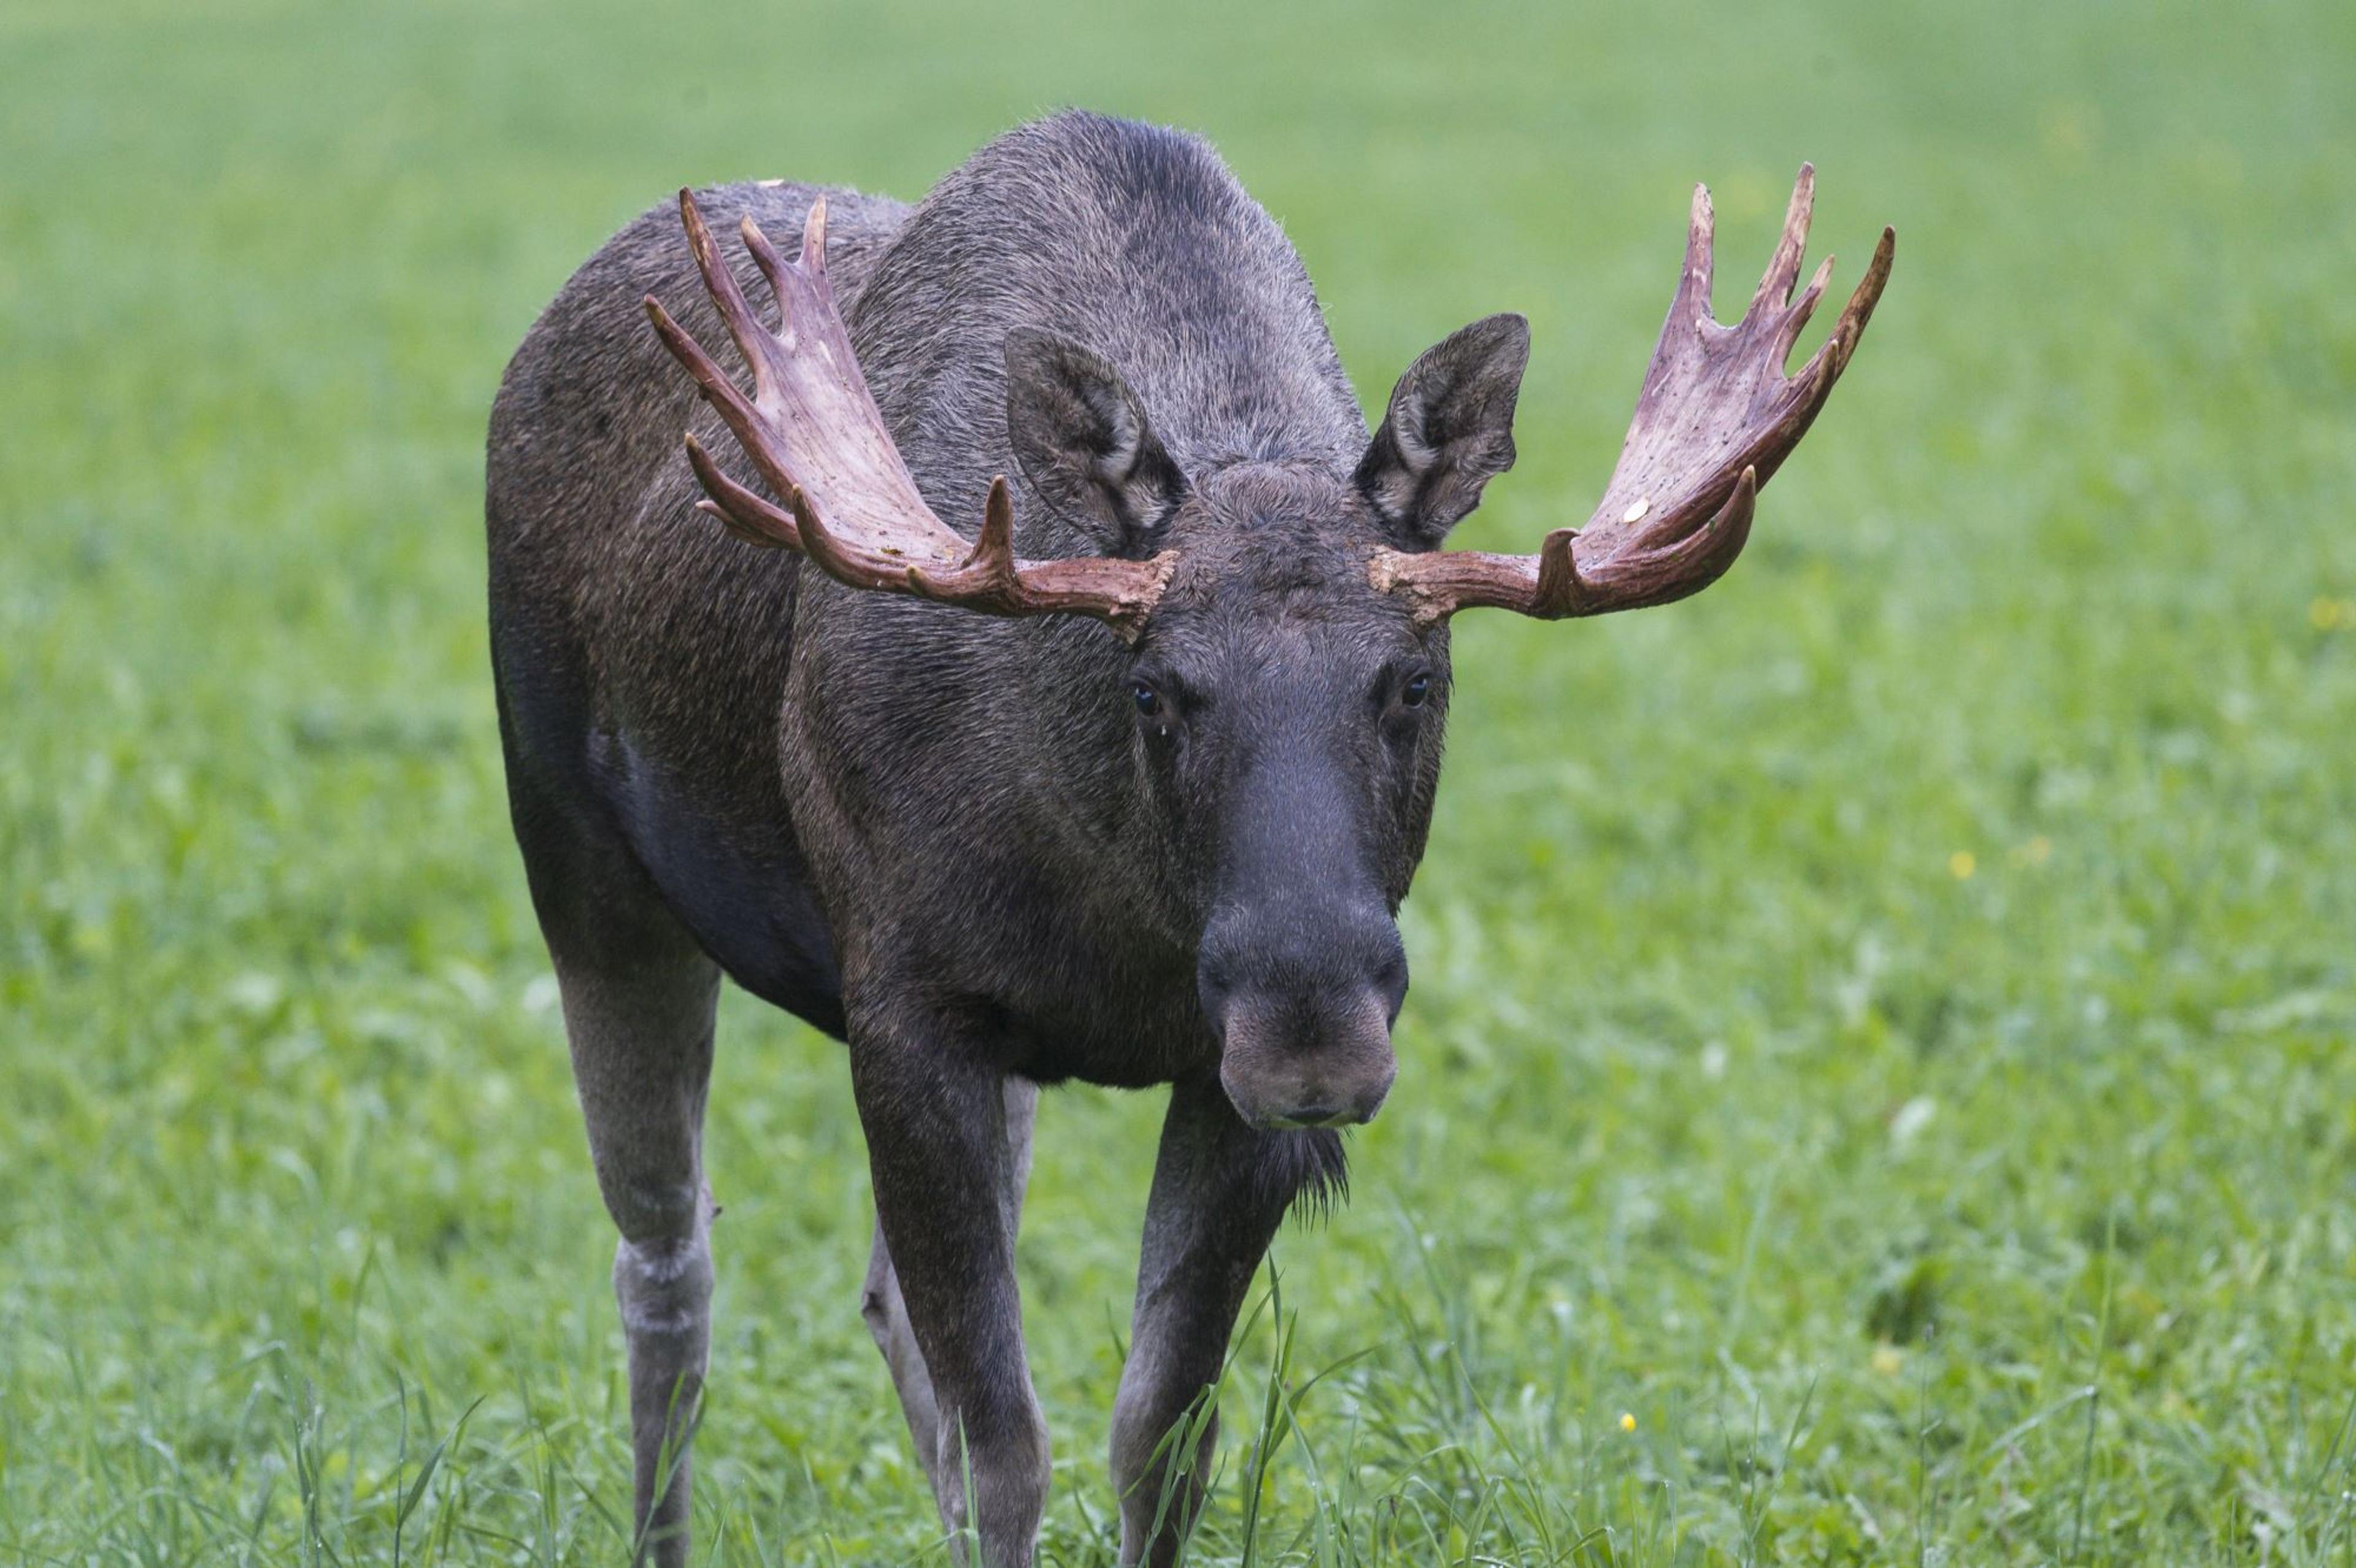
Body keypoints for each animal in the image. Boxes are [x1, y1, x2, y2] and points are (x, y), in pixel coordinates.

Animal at [485, 110, 1891, 1566]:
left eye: (1415, 677)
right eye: (1155, 687)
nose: (1313, 1027)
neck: (1111, 910)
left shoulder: (1204, 1080)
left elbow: (1159, 1434)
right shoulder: (907, 1009)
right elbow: (1008, 1443)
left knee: (874, 1297)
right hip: (579, 863)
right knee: (667, 1261)